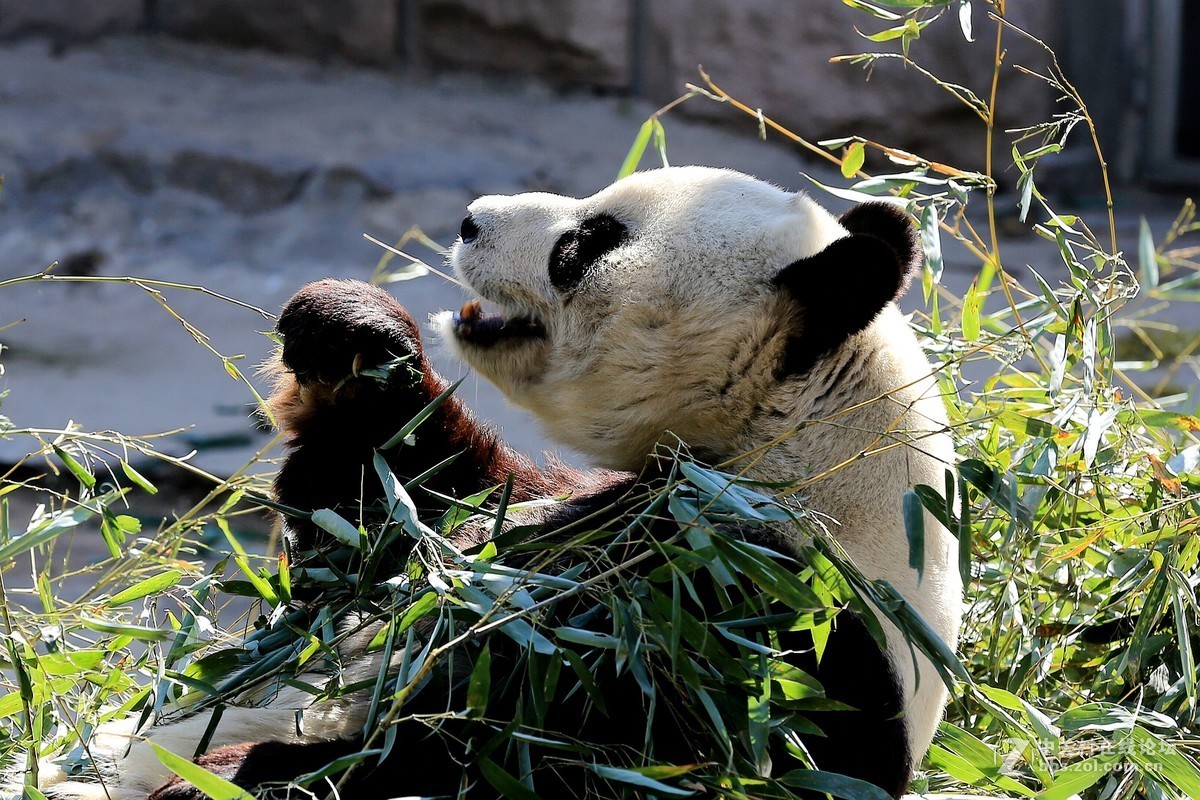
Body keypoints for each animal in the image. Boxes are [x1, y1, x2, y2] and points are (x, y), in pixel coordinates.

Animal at [32, 167, 960, 800]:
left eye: (585, 243)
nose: (470, 218)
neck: (802, 435)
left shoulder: (742, 614)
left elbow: (499, 740)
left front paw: (235, 771)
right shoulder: (570, 504)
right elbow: (405, 509)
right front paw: (350, 335)